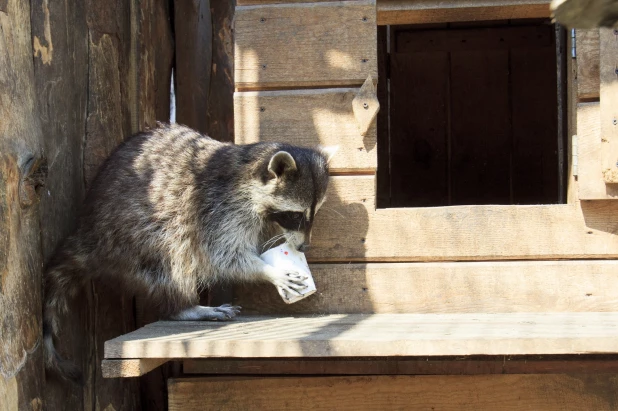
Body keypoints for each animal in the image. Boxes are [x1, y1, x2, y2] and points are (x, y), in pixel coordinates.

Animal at [44, 122, 334, 384]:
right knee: (172, 256)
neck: (248, 172)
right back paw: (184, 307)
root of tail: (87, 231)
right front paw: (270, 272)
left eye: (313, 214)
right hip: (132, 234)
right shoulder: (218, 208)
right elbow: (224, 255)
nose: (304, 247)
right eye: (295, 216)